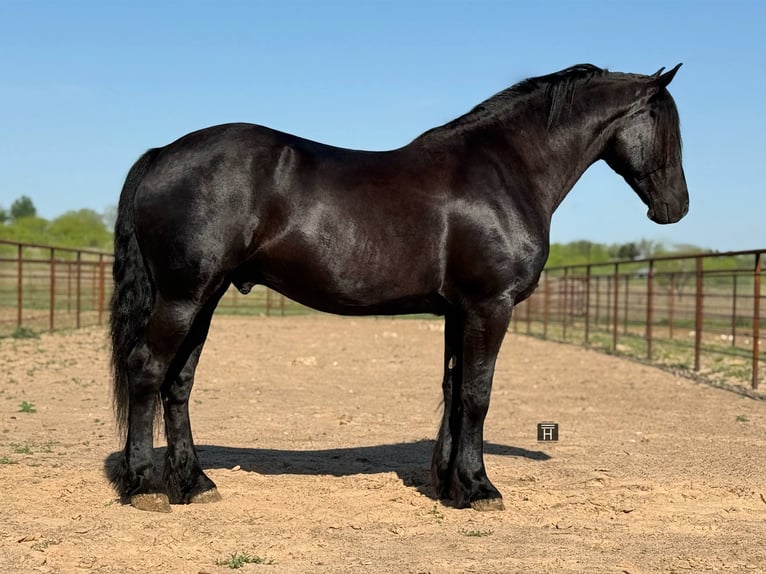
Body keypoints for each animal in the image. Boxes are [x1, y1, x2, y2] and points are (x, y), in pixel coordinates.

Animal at [108, 63, 688, 513]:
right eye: (666, 123)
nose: (676, 207)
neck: (505, 170)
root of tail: (163, 153)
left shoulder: (459, 310)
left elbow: (454, 389)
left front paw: (450, 486)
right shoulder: (489, 306)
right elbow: (478, 394)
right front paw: (481, 488)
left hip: (205, 296)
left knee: (178, 382)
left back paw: (195, 483)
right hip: (184, 297)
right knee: (147, 370)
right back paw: (147, 487)